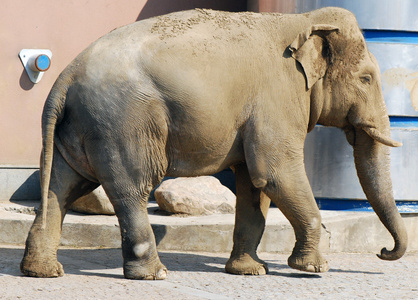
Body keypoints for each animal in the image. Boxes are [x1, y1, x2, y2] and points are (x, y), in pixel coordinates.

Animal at [21, 6, 406, 278]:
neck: (302, 20)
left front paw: (250, 271)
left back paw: (43, 272)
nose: (383, 252)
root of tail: (65, 77)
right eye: (367, 78)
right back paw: (154, 275)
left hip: (80, 129)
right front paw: (313, 269)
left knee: (61, 188)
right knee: (132, 189)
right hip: (122, 123)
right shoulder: (278, 98)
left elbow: (254, 185)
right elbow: (274, 173)